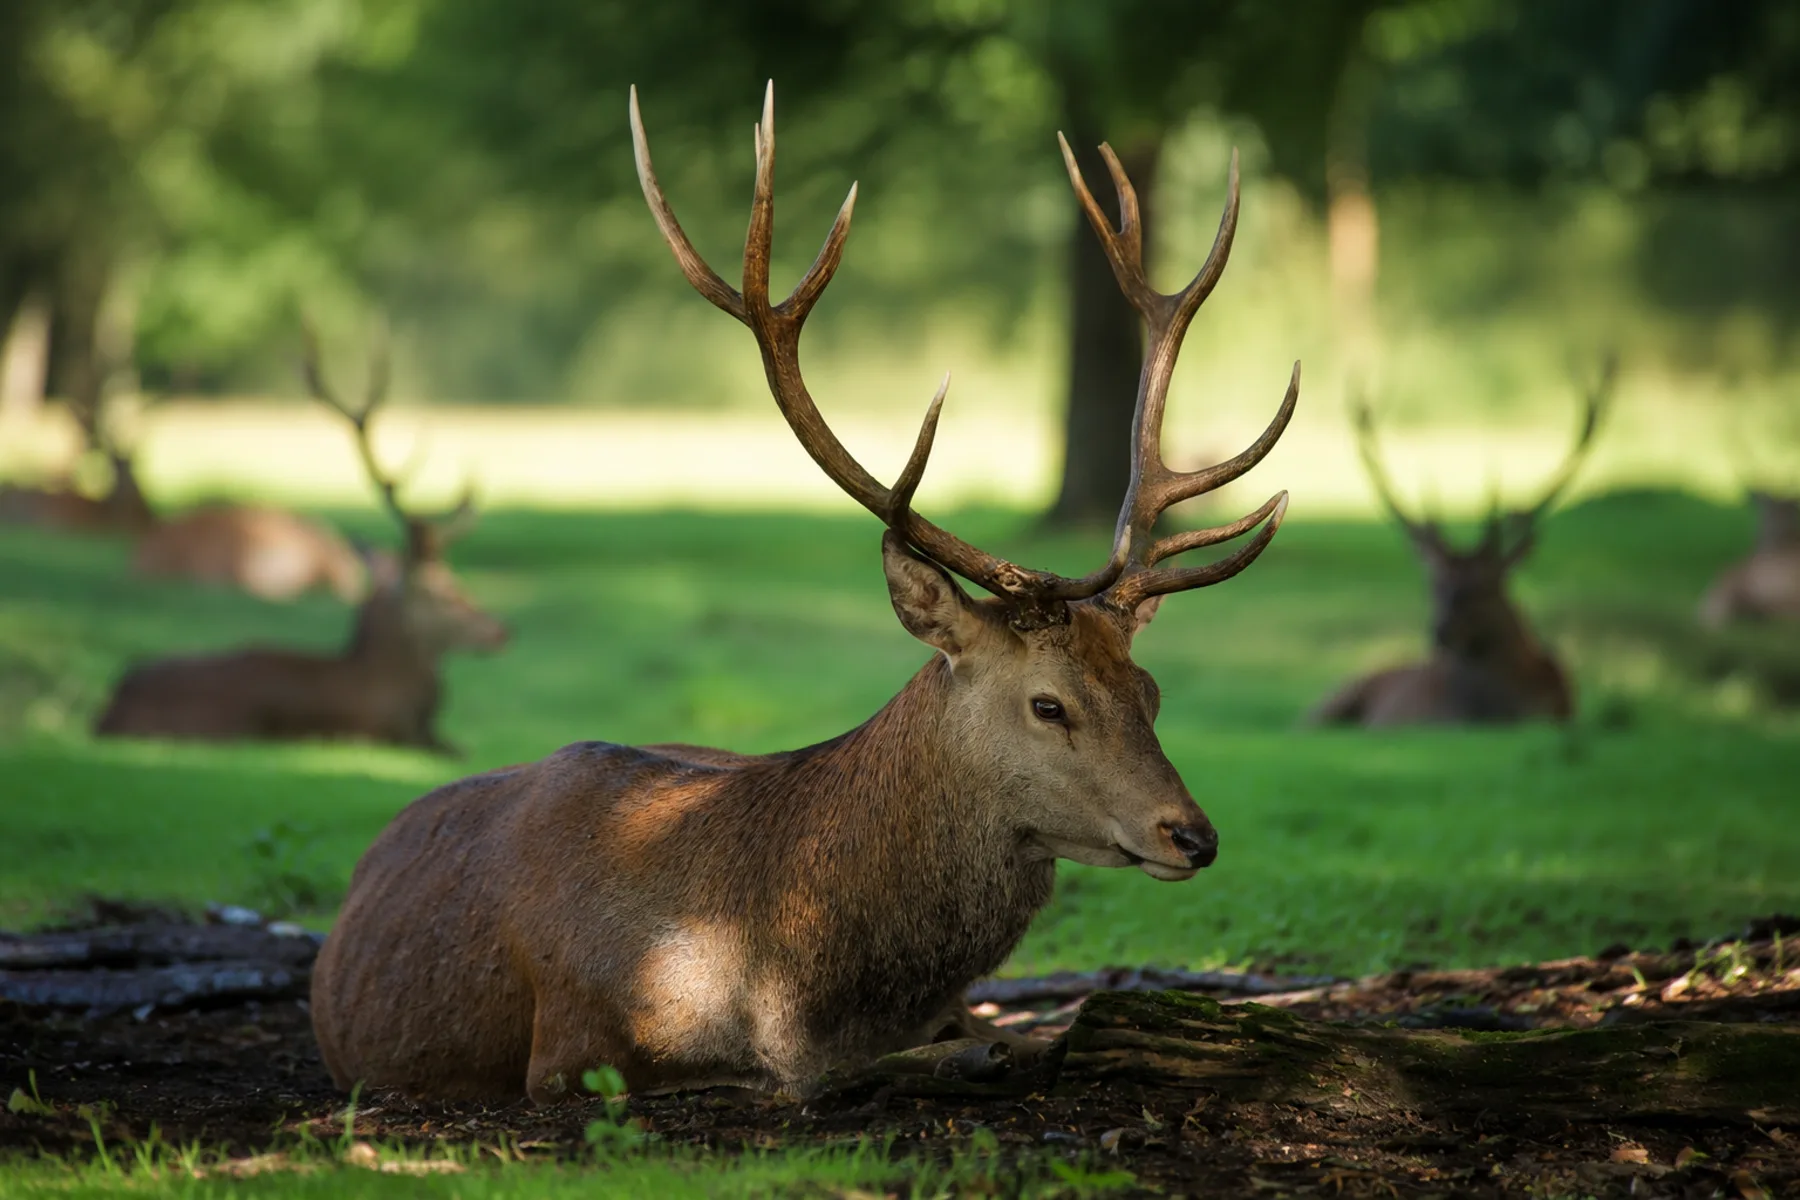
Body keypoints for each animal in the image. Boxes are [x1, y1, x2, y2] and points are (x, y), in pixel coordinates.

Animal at [308, 83, 1298, 1106]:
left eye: (1150, 691)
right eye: (1048, 703)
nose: (1192, 835)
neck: (790, 973)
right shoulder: (573, 1050)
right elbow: (807, 1080)